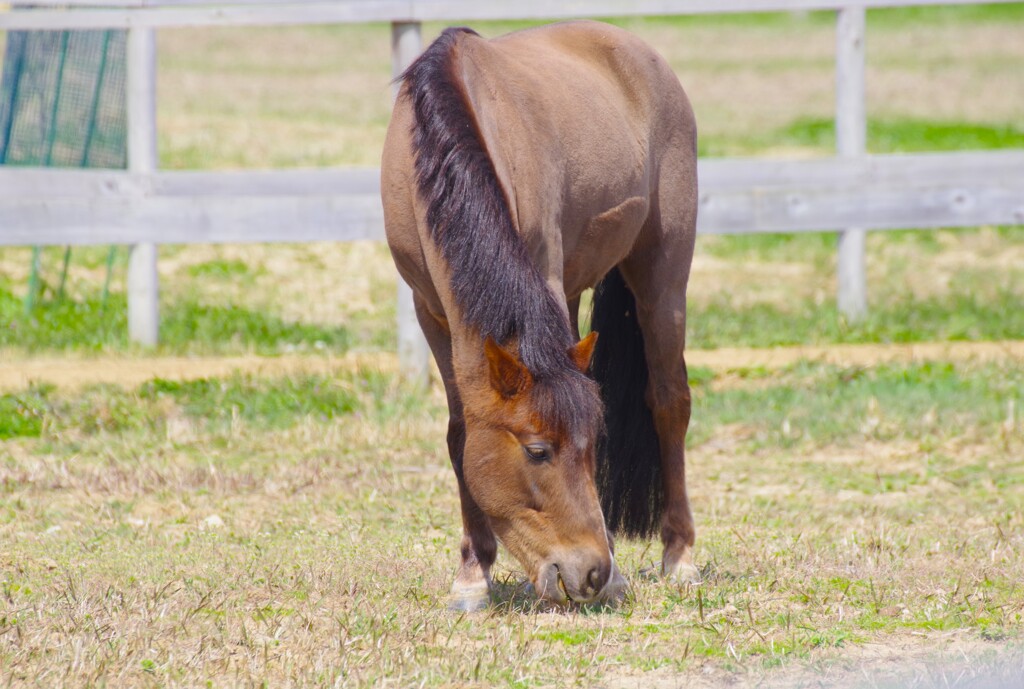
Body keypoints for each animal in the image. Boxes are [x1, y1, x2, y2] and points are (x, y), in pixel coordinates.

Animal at [380, 20, 700, 606]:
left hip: (663, 277)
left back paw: (680, 554)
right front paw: (472, 573)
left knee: (670, 401)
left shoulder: (543, 275)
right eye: (536, 451)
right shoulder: (431, 311)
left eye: (588, 446)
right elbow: (460, 432)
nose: (592, 571)